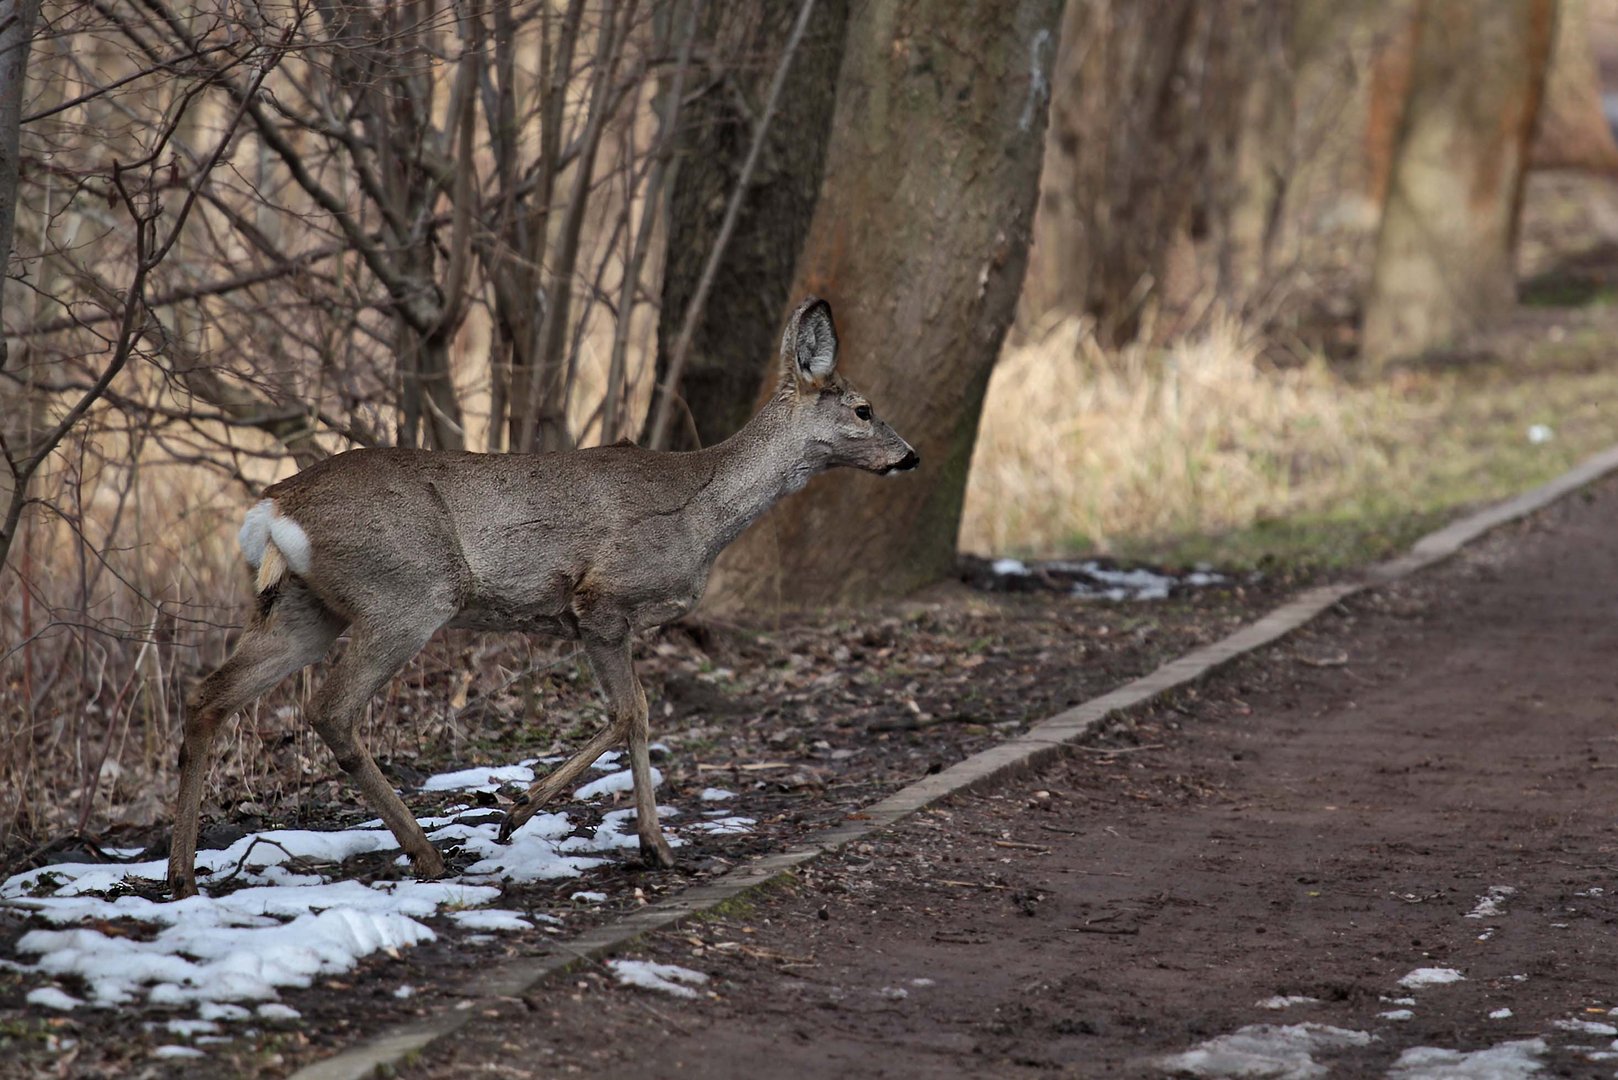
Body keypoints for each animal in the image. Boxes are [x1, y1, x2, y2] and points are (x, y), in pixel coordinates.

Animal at [172, 299, 925, 900]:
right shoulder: (602, 600)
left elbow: (640, 715)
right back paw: (427, 856)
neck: (704, 514)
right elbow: (630, 713)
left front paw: (654, 846)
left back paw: (182, 876)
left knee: (209, 695)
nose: (911, 456)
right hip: (408, 592)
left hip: (307, 608)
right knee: (330, 708)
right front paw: (518, 813)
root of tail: (273, 509)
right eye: (863, 409)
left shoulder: (601, 620)